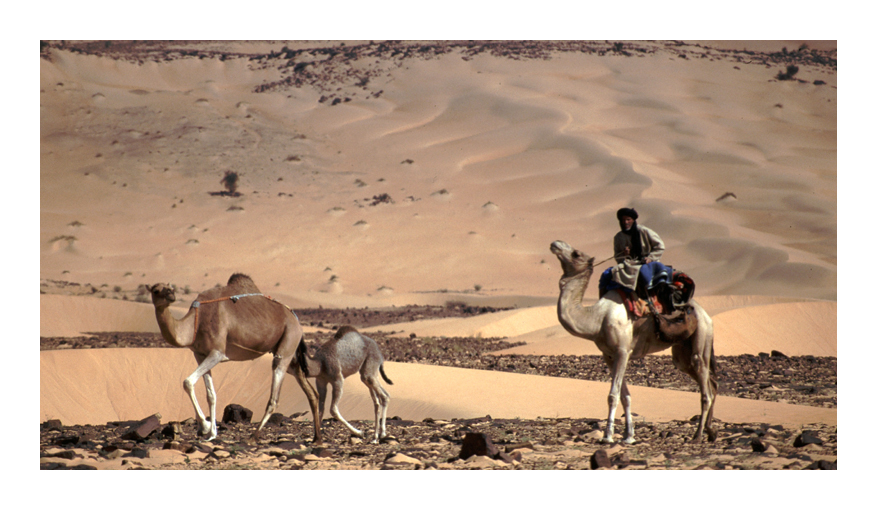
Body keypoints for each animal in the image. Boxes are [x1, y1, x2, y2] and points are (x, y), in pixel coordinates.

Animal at [149, 272, 324, 444]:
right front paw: (211, 433)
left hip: (287, 343)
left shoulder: (217, 352)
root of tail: (296, 319)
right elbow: (211, 394)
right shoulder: (200, 354)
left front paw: (205, 427)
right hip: (291, 356)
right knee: (312, 393)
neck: (195, 323)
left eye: (170, 288)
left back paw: (252, 437)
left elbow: (187, 382)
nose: (171, 295)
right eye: (155, 290)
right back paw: (317, 439)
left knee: (274, 398)